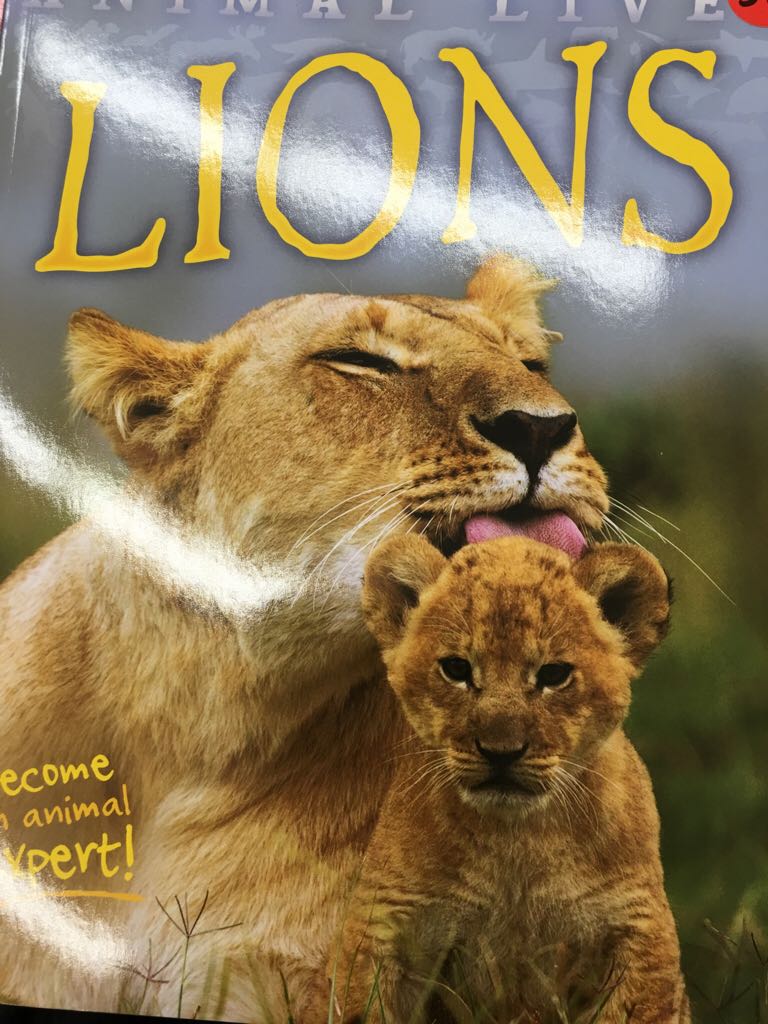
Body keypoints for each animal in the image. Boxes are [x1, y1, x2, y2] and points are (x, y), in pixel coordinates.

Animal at [305, 535, 687, 1024]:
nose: (501, 752)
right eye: (456, 669)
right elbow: (359, 1005)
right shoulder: (382, 925)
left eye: (554, 674)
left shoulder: (638, 929)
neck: (517, 840)